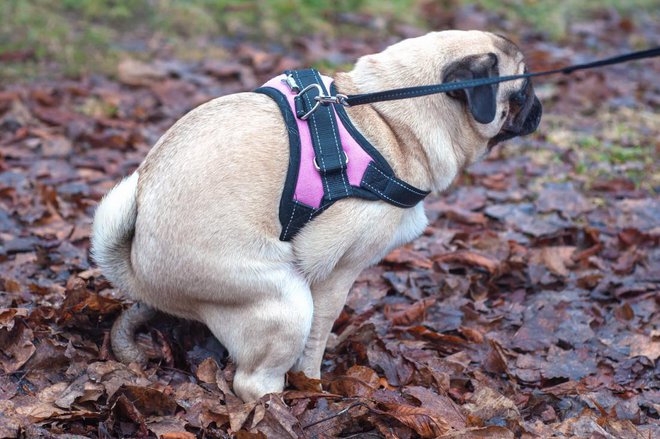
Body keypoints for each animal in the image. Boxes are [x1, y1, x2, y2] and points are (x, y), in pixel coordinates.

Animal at [91, 30, 540, 402]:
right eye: (522, 91)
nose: (539, 108)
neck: (386, 118)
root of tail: (138, 268)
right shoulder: (336, 271)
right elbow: (319, 336)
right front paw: (313, 381)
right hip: (286, 298)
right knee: (253, 381)